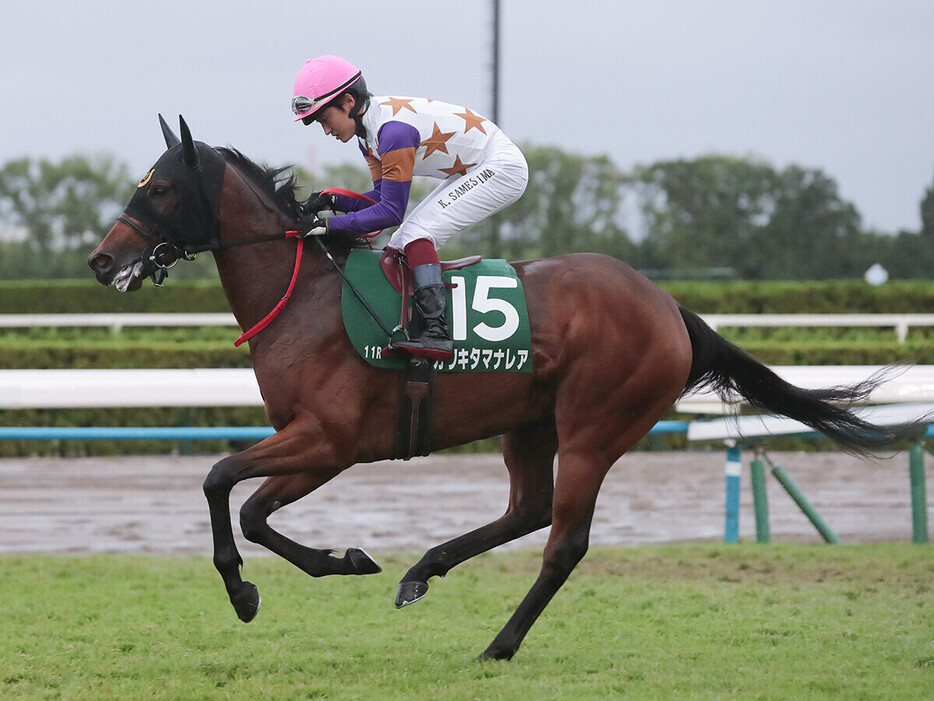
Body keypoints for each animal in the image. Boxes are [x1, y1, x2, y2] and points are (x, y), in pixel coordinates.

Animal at [89, 116, 928, 660]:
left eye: (160, 189)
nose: (101, 261)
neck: (306, 297)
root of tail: (669, 307)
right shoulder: (315, 443)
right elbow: (255, 511)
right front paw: (347, 560)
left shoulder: (329, 439)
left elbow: (219, 480)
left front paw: (243, 592)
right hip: (530, 421)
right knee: (527, 508)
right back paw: (422, 571)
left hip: (595, 426)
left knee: (564, 539)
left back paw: (500, 641)